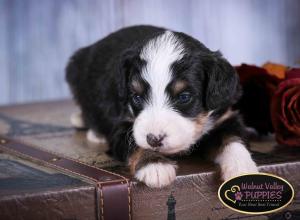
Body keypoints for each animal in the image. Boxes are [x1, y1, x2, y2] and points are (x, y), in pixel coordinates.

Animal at [65, 25, 258, 187]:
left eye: (184, 97)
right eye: (137, 97)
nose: (154, 139)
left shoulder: (225, 117)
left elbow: (232, 139)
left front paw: (241, 167)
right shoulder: (122, 123)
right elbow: (134, 142)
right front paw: (155, 166)